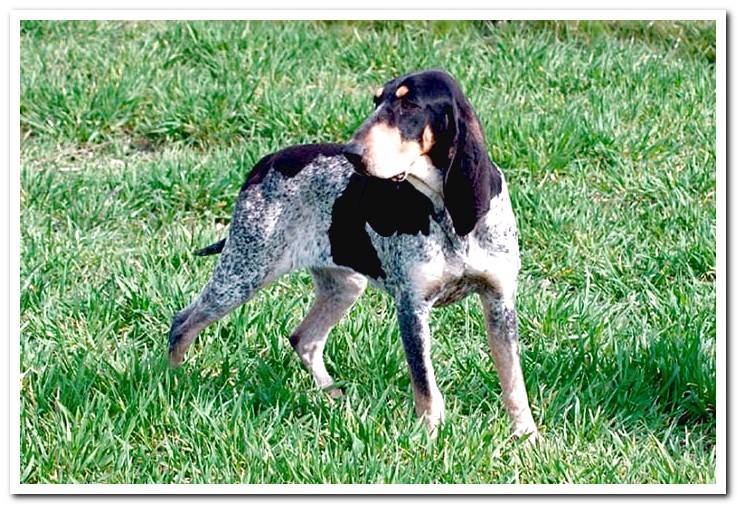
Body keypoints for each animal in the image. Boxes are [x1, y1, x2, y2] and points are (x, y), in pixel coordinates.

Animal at [170, 69, 536, 440]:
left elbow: (514, 383)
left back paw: (335, 399)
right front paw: (429, 438)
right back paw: (174, 383)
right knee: (182, 323)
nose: (352, 153)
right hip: (242, 274)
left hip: (343, 286)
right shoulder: (412, 307)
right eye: (376, 101)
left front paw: (527, 436)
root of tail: (263, 165)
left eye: (409, 105)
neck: (445, 210)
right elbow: (426, 388)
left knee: (304, 339)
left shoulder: (499, 300)